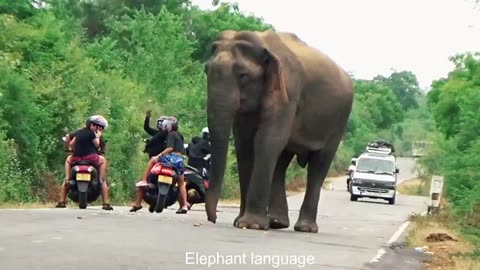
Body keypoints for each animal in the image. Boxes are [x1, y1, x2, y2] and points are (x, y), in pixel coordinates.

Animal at [202, 29, 352, 232]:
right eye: (206, 70)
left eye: (243, 75)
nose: (213, 219)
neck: (263, 44)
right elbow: (245, 145)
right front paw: (240, 222)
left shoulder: (288, 90)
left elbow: (266, 140)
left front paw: (250, 225)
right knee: (281, 162)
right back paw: (276, 222)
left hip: (339, 119)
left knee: (319, 164)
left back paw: (305, 228)